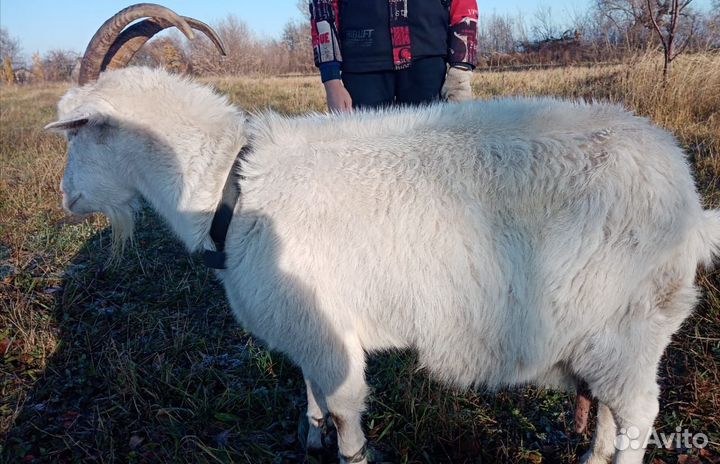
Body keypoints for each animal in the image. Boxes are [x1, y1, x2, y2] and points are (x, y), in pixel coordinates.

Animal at [46, 5, 720, 464]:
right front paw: (310, 435)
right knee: (608, 414)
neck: (230, 183)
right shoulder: (307, 330)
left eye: (77, 131)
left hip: (631, 330)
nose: (67, 198)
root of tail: (688, 200)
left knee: (638, 414)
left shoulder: (331, 335)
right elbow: (312, 397)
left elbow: (347, 419)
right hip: (606, 340)